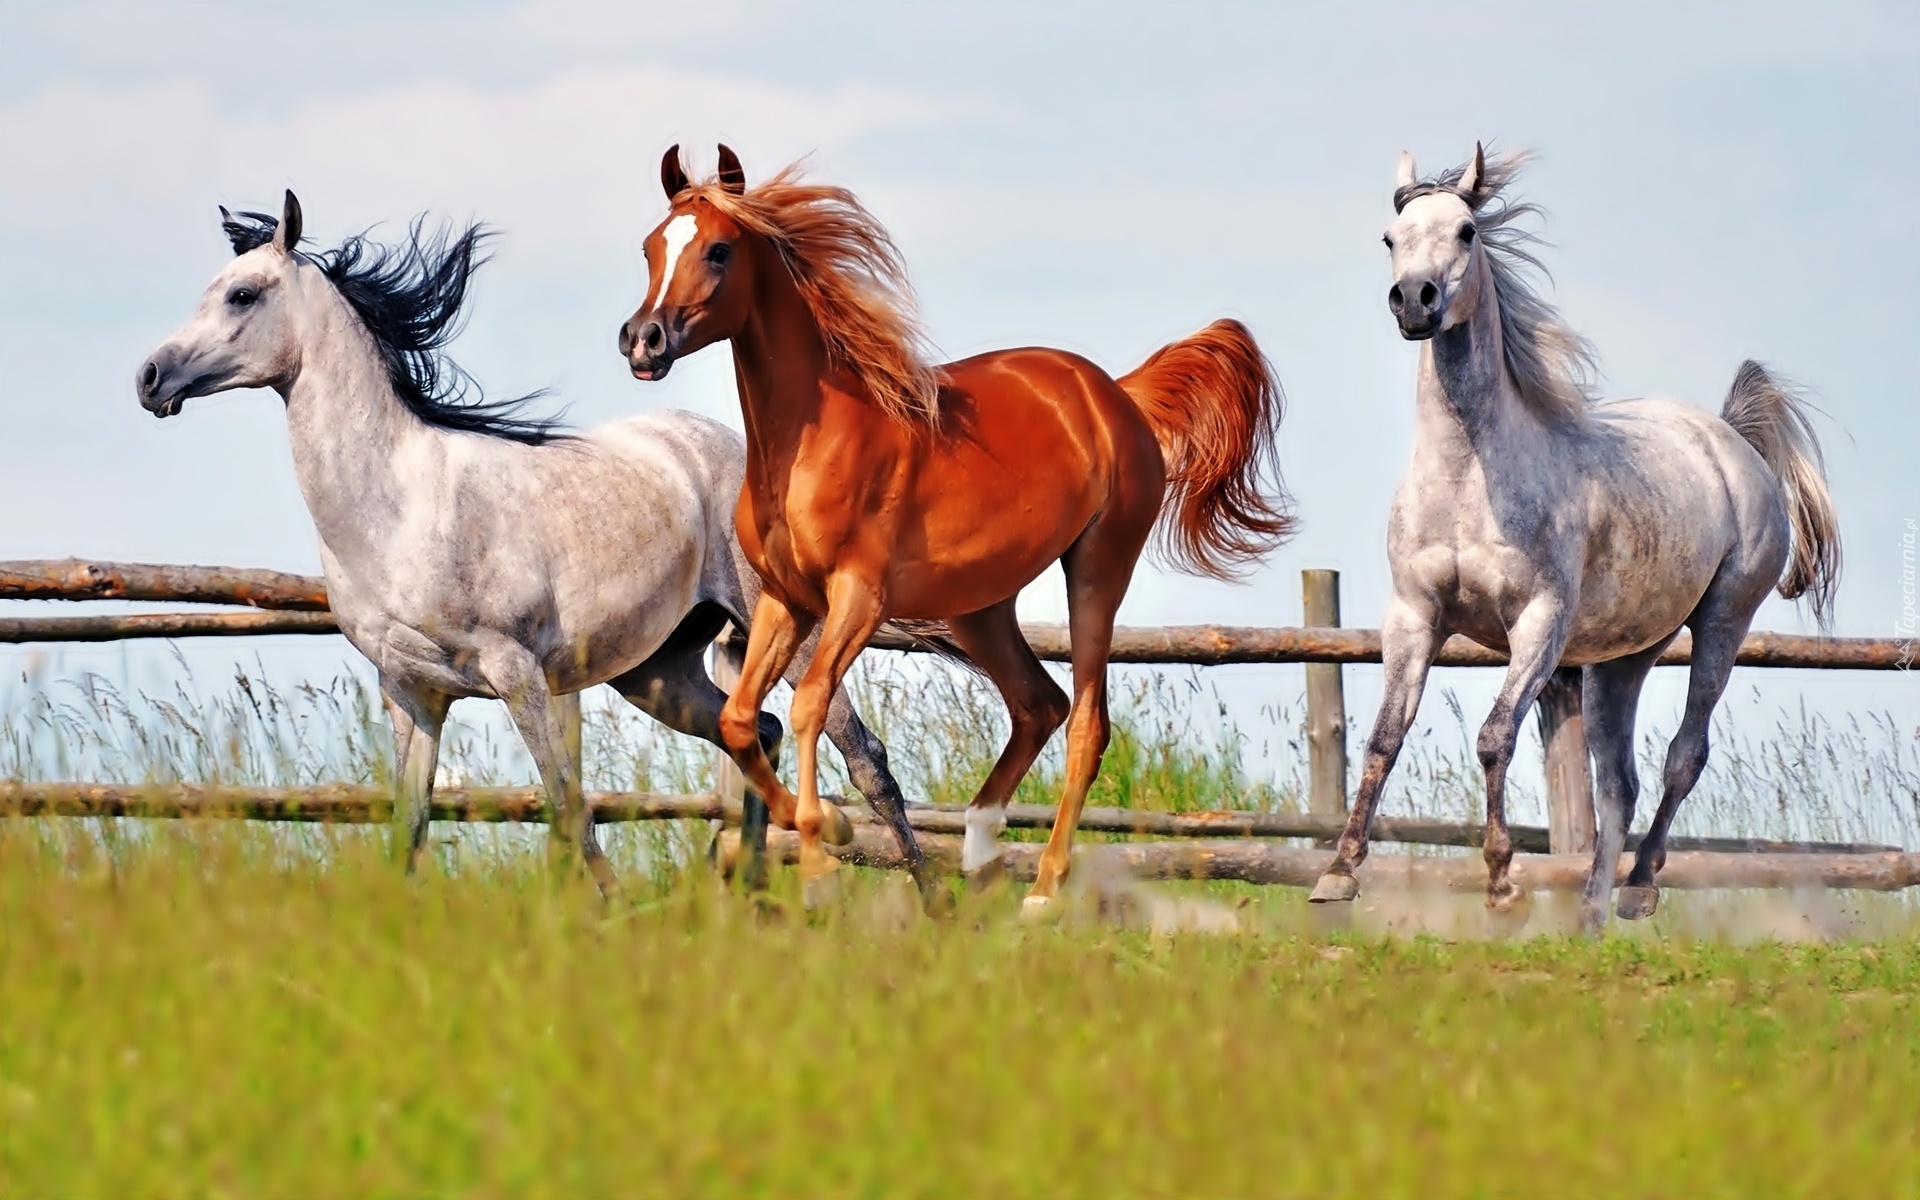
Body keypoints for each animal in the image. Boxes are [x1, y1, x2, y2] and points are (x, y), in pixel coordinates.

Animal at [135, 190, 937, 900]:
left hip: (785, 633)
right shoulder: (411, 693)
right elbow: (410, 828)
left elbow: (568, 808)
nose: (149, 377)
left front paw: (611, 916)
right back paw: (747, 897)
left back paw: (929, 907)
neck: (399, 506)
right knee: (757, 730)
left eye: (242, 295)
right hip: (656, 672)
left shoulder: (517, 673)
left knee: (864, 759)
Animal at [617, 145, 1297, 911]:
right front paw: (830, 830)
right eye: (651, 246)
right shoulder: (784, 599)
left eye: (720, 249)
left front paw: (822, 858)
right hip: (979, 606)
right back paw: (977, 855)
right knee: (1038, 703)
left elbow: (811, 704)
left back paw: (1041, 890)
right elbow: (739, 718)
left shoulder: (857, 599)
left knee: (1087, 723)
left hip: (1098, 567)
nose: (642, 342)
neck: (815, 439)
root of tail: (1116, 395)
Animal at [1310, 145, 1841, 932]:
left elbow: (1495, 737)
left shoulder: (1540, 624)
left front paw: (1502, 885)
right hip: (1623, 658)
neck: (1470, 476)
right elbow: (1383, 737)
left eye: (1467, 230)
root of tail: (1730, 441)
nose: (1415, 301)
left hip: (1722, 622)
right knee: (1617, 781)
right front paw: (1337, 874)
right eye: (1389, 238)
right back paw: (1588, 917)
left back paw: (1637, 889)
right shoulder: (1414, 615)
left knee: (1684, 754)